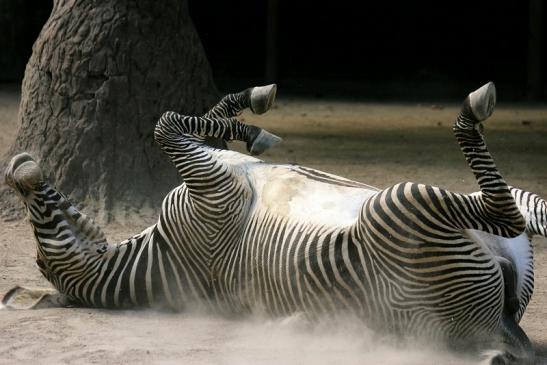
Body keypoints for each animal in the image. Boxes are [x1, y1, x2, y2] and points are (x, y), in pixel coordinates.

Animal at [3, 82, 544, 364]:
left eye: (38, 219)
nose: (18, 168)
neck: (158, 256)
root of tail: (489, 331)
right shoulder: (212, 190)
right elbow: (165, 124)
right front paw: (255, 126)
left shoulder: (208, 172)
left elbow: (194, 118)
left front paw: (252, 116)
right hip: (401, 203)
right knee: (501, 209)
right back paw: (474, 106)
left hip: (494, 225)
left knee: (529, 209)